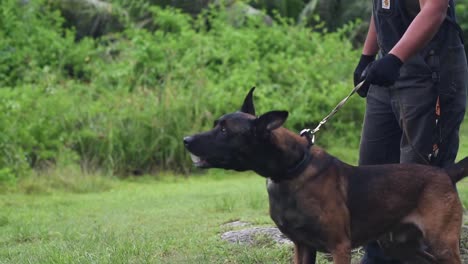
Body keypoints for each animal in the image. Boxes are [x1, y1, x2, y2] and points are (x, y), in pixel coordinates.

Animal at [183, 88, 468, 264]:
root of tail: (444, 172)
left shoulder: (339, 246)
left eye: (224, 131)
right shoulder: (302, 246)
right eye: (216, 124)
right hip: (400, 246)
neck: (292, 170)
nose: (186, 140)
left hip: (441, 243)